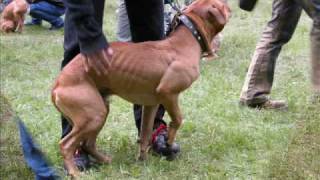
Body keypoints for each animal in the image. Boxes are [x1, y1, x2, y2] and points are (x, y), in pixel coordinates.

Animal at [50, 0, 230, 177]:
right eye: (223, 5)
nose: (230, 6)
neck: (187, 38)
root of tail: (57, 85)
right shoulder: (169, 94)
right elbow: (178, 119)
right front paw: (169, 140)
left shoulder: (151, 104)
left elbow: (145, 133)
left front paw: (143, 159)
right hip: (93, 115)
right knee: (66, 145)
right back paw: (75, 172)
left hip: (99, 113)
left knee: (87, 144)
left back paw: (105, 160)